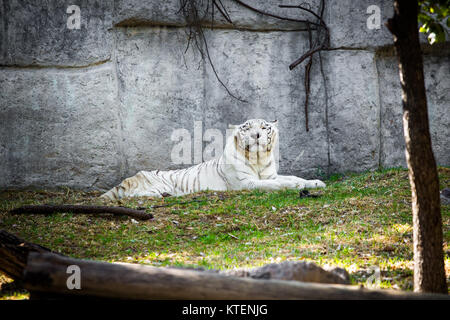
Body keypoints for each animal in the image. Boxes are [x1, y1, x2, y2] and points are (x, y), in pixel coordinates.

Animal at [101, 120, 326, 200]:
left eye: (264, 127)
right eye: (247, 128)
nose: (256, 135)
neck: (259, 159)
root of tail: (127, 180)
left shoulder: (270, 175)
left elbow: (291, 177)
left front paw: (316, 183)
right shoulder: (247, 183)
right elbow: (278, 184)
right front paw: (296, 186)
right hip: (152, 184)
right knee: (132, 196)